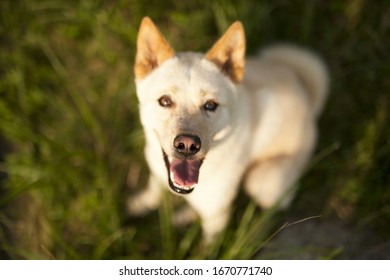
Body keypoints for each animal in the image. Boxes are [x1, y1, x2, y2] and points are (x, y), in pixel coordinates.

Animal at [129, 17, 330, 243]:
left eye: (210, 105)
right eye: (165, 101)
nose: (187, 145)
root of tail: (307, 97)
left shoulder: (217, 220)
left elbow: (207, 247)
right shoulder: (156, 170)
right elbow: (153, 189)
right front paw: (140, 203)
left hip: (261, 180)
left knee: (274, 208)